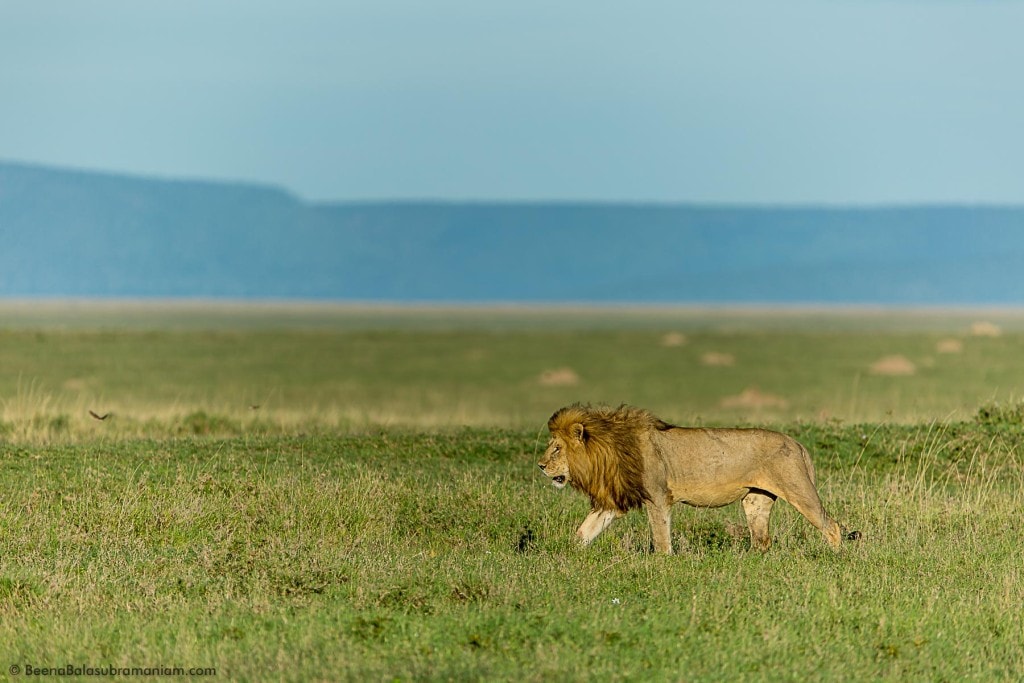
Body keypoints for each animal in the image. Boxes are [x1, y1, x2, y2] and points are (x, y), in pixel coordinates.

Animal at [536, 403, 856, 552]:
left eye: (556, 448)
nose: (540, 466)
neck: (610, 449)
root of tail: (797, 443)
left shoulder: (658, 497)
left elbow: (661, 537)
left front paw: (663, 564)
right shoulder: (613, 500)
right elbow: (584, 531)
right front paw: (570, 554)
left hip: (798, 488)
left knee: (831, 525)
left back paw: (834, 557)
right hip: (756, 500)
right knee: (762, 540)